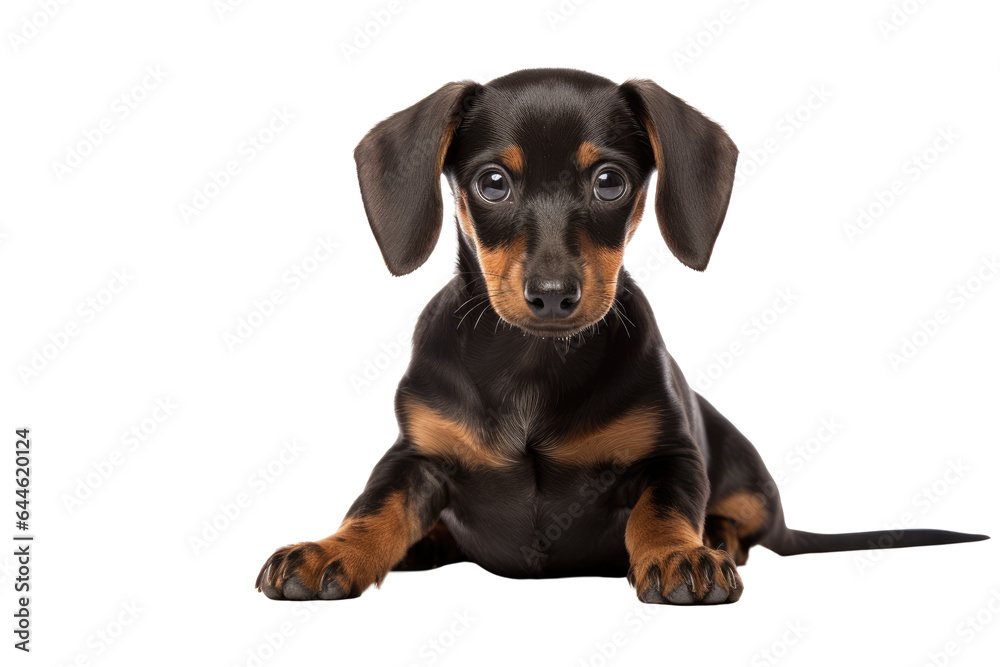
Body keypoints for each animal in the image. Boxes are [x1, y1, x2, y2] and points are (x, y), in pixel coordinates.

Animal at [254, 68, 988, 604]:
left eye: (610, 180)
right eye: (492, 182)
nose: (553, 295)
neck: (533, 363)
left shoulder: (672, 457)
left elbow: (661, 508)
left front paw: (679, 555)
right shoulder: (415, 456)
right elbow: (374, 507)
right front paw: (331, 551)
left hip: (748, 479)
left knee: (747, 522)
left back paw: (719, 538)